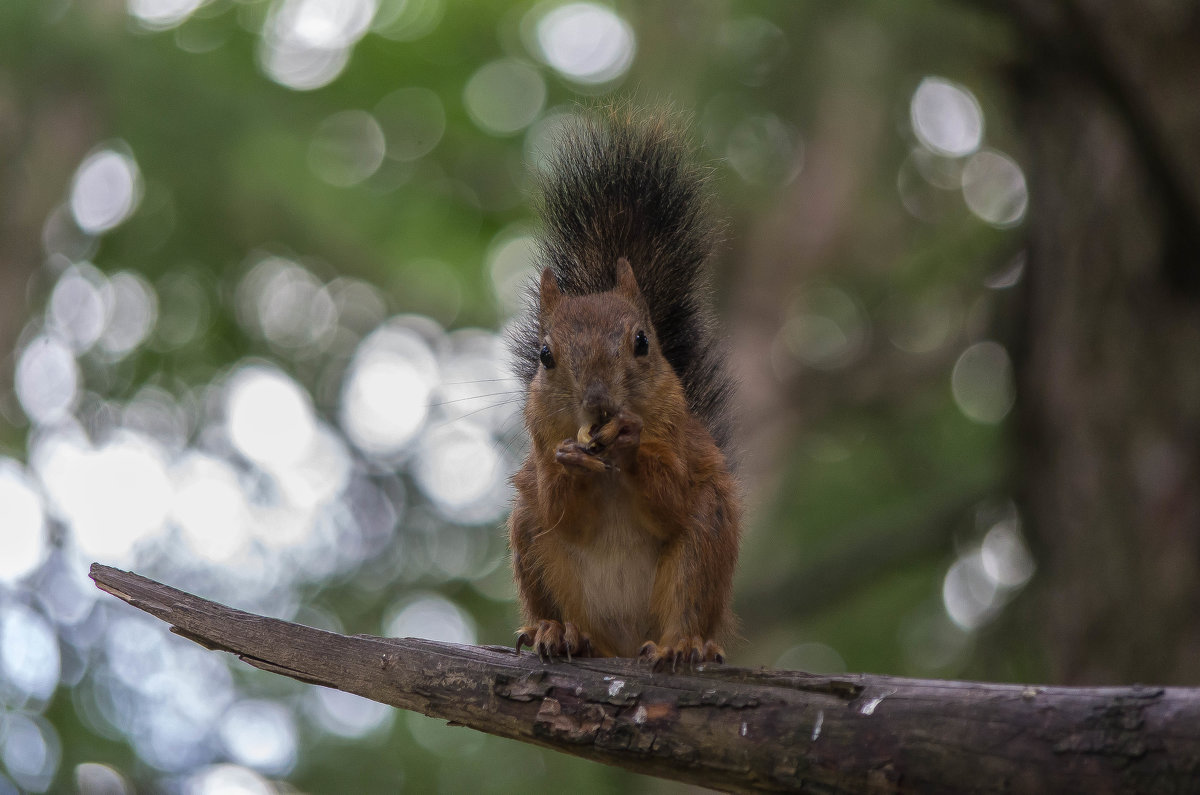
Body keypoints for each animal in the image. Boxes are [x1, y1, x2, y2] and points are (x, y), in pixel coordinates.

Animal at [506, 110, 739, 672]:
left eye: (642, 342)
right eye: (545, 355)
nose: (599, 403)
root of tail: (626, 643)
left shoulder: (681, 443)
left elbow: (669, 499)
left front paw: (630, 443)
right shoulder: (541, 448)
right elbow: (563, 512)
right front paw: (571, 461)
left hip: (705, 538)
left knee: (687, 596)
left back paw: (684, 644)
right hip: (530, 542)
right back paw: (559, 633)